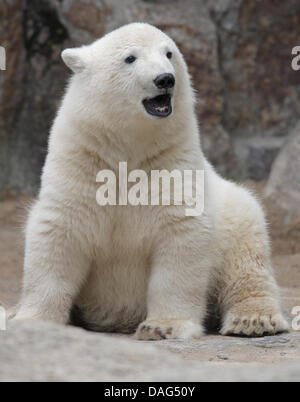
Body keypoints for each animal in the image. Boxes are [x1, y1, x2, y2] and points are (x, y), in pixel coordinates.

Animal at [14, 23, 288, 340]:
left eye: (168, 53)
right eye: (130, 58)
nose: (165, 79)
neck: (129, 146)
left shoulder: (171, 162)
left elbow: (181, 234)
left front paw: (163, 325)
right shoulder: (81, 160)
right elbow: (58, 232)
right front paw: (32, 320)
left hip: (236, 215)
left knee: (246, 258)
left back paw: (253, 320)